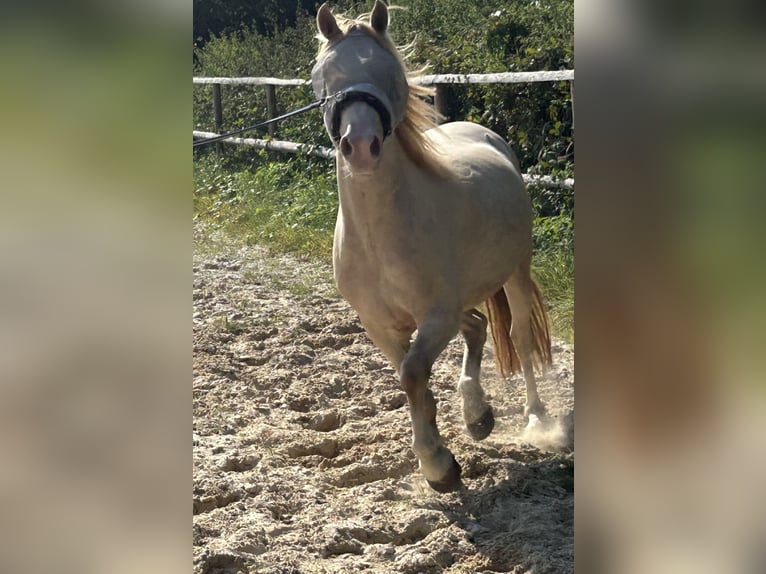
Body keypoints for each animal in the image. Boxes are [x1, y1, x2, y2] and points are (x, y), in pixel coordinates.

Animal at [310, 1, 552, 496]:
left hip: (515, 271)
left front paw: (438, 465)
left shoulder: (436, 315)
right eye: (325, 77)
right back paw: (478, 416)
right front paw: (442, 447)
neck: (381, 237)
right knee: (478, 326)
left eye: (390, 74)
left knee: (517, 335)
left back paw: (537, 420)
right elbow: (410, 377)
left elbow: (413, 373)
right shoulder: (379, 325)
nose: (361, 146)